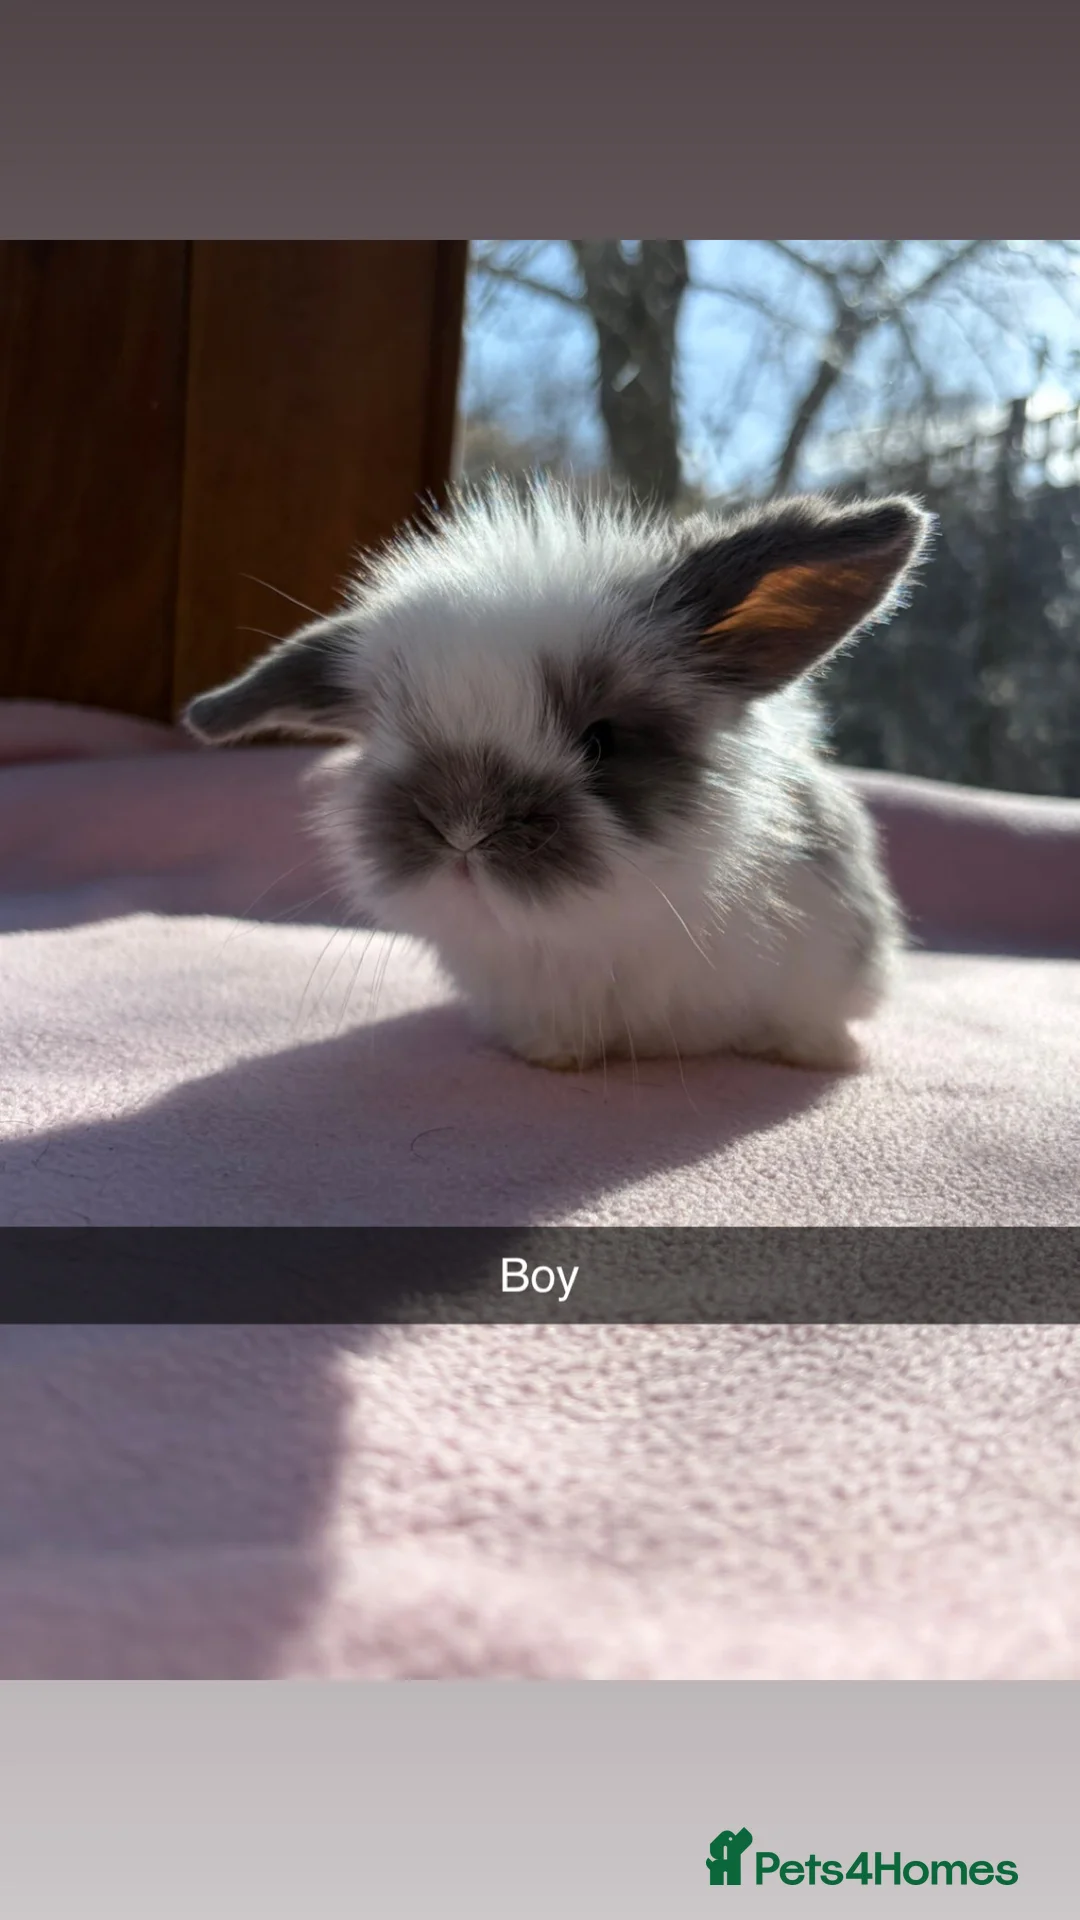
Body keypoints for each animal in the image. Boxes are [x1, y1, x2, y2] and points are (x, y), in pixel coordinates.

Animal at [183, 480, 932, 1074]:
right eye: (394, 733)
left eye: (601, 741)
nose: (462, 829)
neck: (592, 933)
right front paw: (553, 1058)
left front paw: (820, 1055)